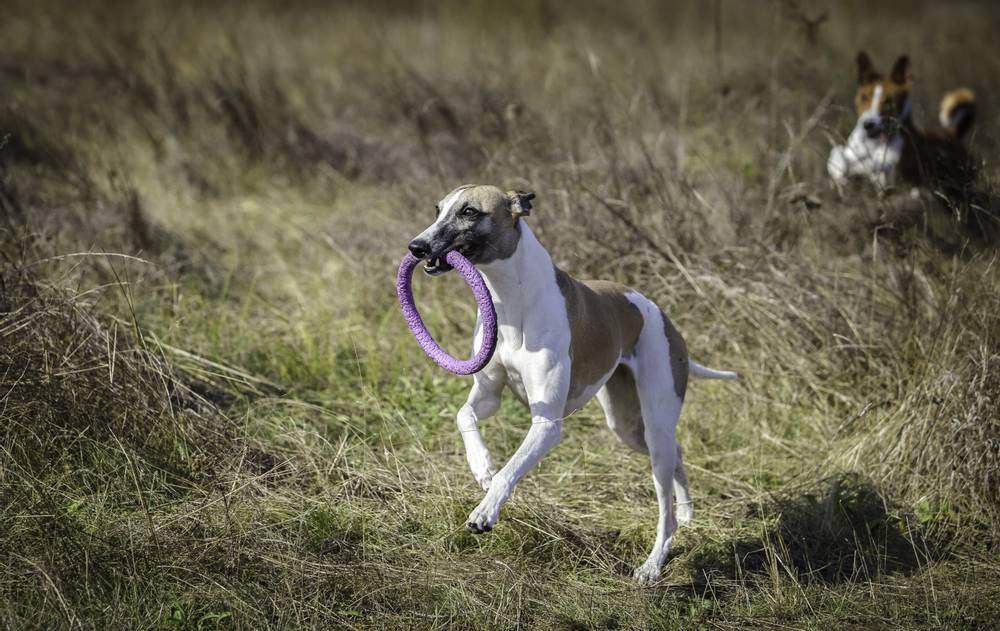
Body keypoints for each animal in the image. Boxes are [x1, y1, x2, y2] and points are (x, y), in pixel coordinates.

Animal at [402, 184, 740, 584]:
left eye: (469, 211)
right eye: (438, 210)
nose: (416, 247)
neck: (512, 298)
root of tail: (662, 315)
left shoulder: (546, 425)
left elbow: (510, 471)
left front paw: (485, 511)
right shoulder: (487, 396)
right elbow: (464, 416)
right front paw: (481, 466)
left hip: (655, 426)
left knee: (665, 510)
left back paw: (653, 563)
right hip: (626, 426)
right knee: (678, 452)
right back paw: (687, 511)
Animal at [828, 52, 976, 198]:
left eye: (889, 101)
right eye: (864, 97)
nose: (868, 124)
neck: (874, 143)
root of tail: (952, 135)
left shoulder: (892, 178)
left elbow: (880, 167)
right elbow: (837, 153)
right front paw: (840, 173)